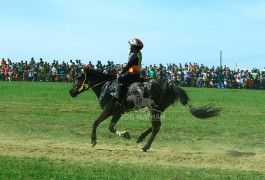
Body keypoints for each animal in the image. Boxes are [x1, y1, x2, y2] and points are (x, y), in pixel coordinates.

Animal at [68, 67, 219, 152]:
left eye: (78, 77)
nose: (71, 91)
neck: (106, 87)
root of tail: (170, 86)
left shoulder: (108, 110)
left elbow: (95, 123)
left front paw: (93, 141)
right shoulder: (118, 112)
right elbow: (111, 127)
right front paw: (125, 134)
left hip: (154, 109)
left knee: (156, 127)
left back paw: (145, 147)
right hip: (158, 110)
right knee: (156, 126)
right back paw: (140, 138)